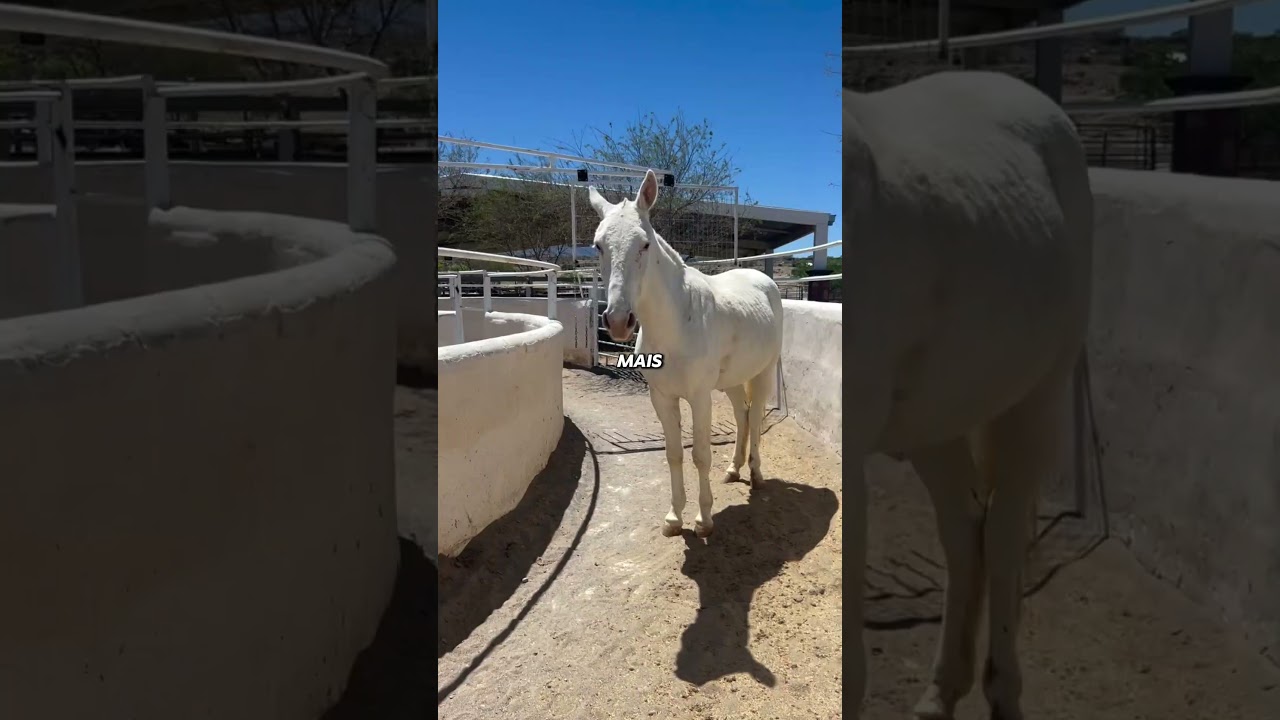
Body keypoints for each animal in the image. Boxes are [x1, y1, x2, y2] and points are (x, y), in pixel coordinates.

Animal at [587, 170, 785, 539]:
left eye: (645, 244)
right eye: (599, 246)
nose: (618, 321)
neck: (678, 321)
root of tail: (762, 279)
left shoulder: (699, 397)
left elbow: (701, 456)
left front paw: (703, 520)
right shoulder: (662, 397)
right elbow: (674, 454)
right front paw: (674, 518)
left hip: (762, 373)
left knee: (754, 418)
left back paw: (756, 474)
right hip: (732, 381)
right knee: (741, 416)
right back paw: (734, 469)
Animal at [845, 70, 1094, 720]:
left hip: (1036, 400)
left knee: (1001, 540)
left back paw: (1001, 690)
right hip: (937, 423)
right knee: (964, 535)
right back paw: (940, 693)